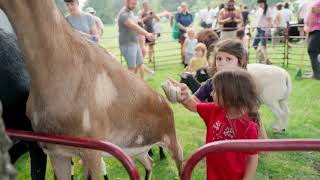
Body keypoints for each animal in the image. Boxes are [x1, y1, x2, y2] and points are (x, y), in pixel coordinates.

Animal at [0, 0, 184, 179]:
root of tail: (166, 104)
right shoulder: (55, 151)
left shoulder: (92, 152)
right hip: (137, 148)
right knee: (149, 162)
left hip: (170, 140)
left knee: (180, 161)